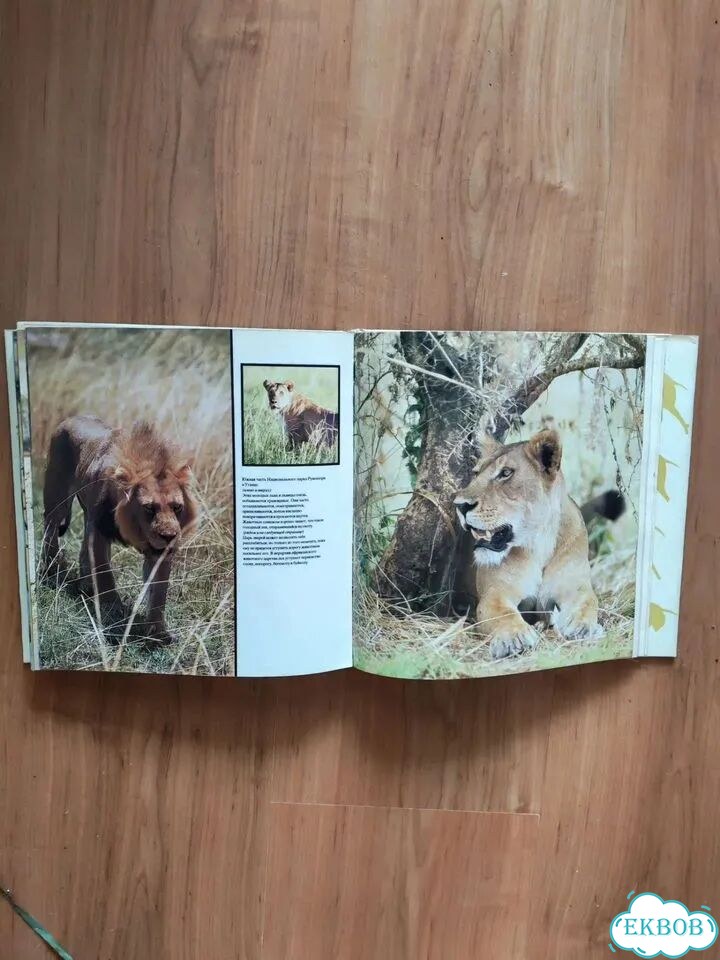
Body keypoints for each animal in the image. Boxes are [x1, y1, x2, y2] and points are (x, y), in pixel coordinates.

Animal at [40, 415, 198, 644]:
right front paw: (112, 611)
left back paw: (86, 586)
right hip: (57, 498)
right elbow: (104, 571)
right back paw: (52, 569)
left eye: (177, 507)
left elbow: (158, 591)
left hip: (86, 514)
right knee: (50, 529)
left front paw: (158, 632)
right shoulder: (99, 531)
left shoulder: (157, 552)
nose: (169, 536)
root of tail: (71, 418)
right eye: (149, 508)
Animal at [453, 429, 623, 659]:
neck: (539, 542)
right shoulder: (495, 593)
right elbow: (502, 614)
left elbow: (588, 602)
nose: (460, 505)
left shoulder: (575, 587)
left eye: (505, 473)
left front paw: (583, 628)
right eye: (476, 473)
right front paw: (513, 639)